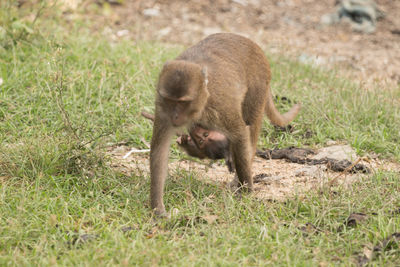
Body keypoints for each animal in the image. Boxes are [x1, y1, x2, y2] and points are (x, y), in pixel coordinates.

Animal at [150, 33, 300, 218]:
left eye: (182, 102)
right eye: (170, 100)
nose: (175, 116)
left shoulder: (220, 106)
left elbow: (240, 133)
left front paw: (246, 190)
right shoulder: (162, 109)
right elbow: (160, 150)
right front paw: (157, 209)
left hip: (259, 83)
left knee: (250, 124)